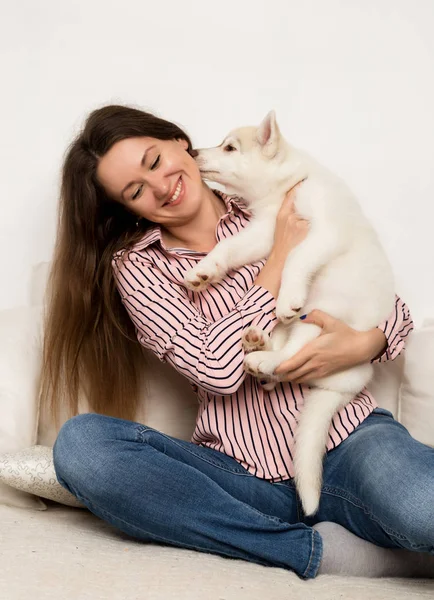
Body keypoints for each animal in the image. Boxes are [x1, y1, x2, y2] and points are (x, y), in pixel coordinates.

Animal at [185, 112, 396, 516]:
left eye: (229, 148)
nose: (192, 152)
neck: (283, 187)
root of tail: (349, 381)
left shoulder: (323, 231)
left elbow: (297, 258)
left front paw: (286, 298)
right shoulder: (265, 233)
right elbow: (229, 246)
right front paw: (204, 270)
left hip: (322, 313)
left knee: (294, 354)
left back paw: (266, 357)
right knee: (282, 354)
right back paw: (258, 348)